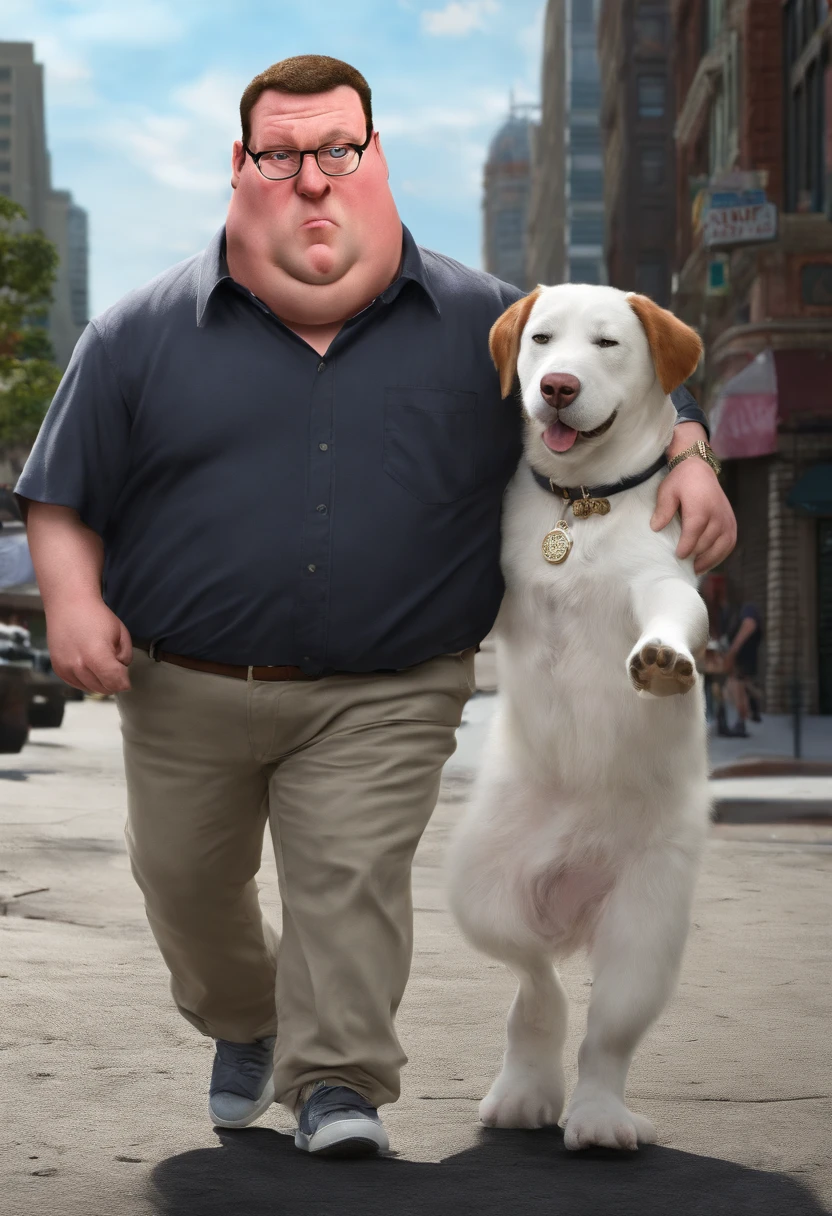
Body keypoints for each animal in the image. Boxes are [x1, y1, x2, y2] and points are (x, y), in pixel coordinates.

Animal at [445, 282, 710, 1147]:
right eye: (541, 340)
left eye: (606, 343)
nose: (557, 386)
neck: (584, 505)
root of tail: (576, 895)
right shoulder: (497, 583)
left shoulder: (664, 580)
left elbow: (674, 617)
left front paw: (661, 659)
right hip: (480, 892)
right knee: (537, 986)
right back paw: (526, 1090)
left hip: (646, 931)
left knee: (605, 1036)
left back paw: (597, 1119)